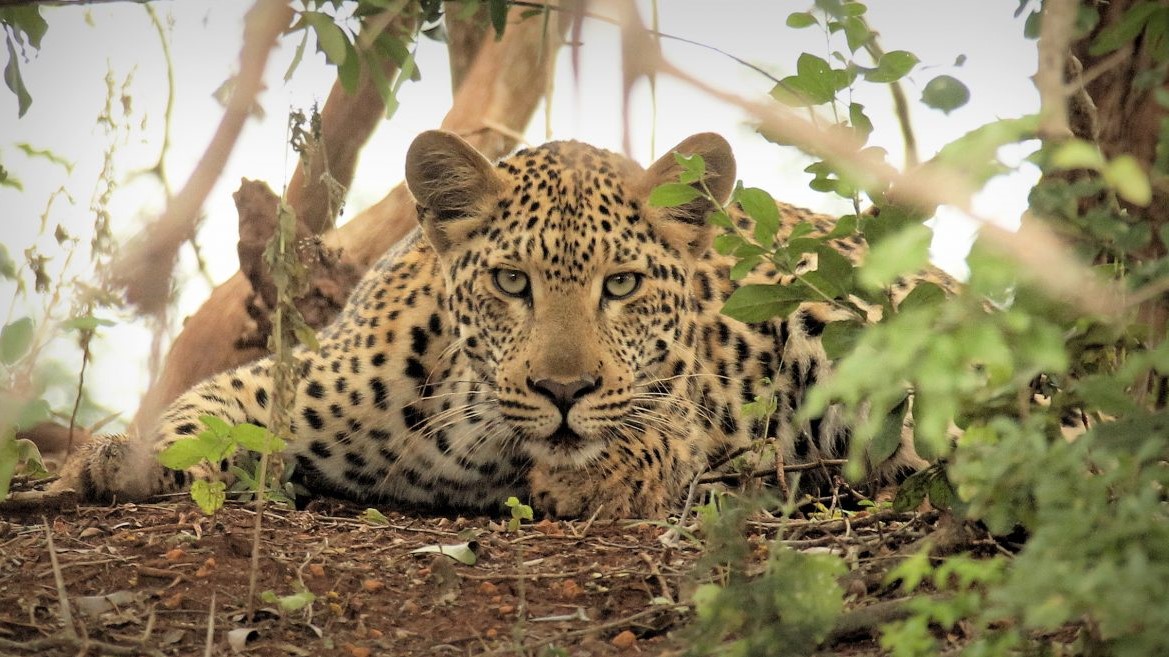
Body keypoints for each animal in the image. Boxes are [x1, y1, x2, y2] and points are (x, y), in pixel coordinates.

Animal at [53, 130, 929, 519]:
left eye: (621, 284)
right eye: (512, 281)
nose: (563, 390)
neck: (469, 441)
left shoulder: (685, 414)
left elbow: (653, 436)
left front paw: (588, 474)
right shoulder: (290, 376)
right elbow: (203, 408)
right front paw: (123, 459)